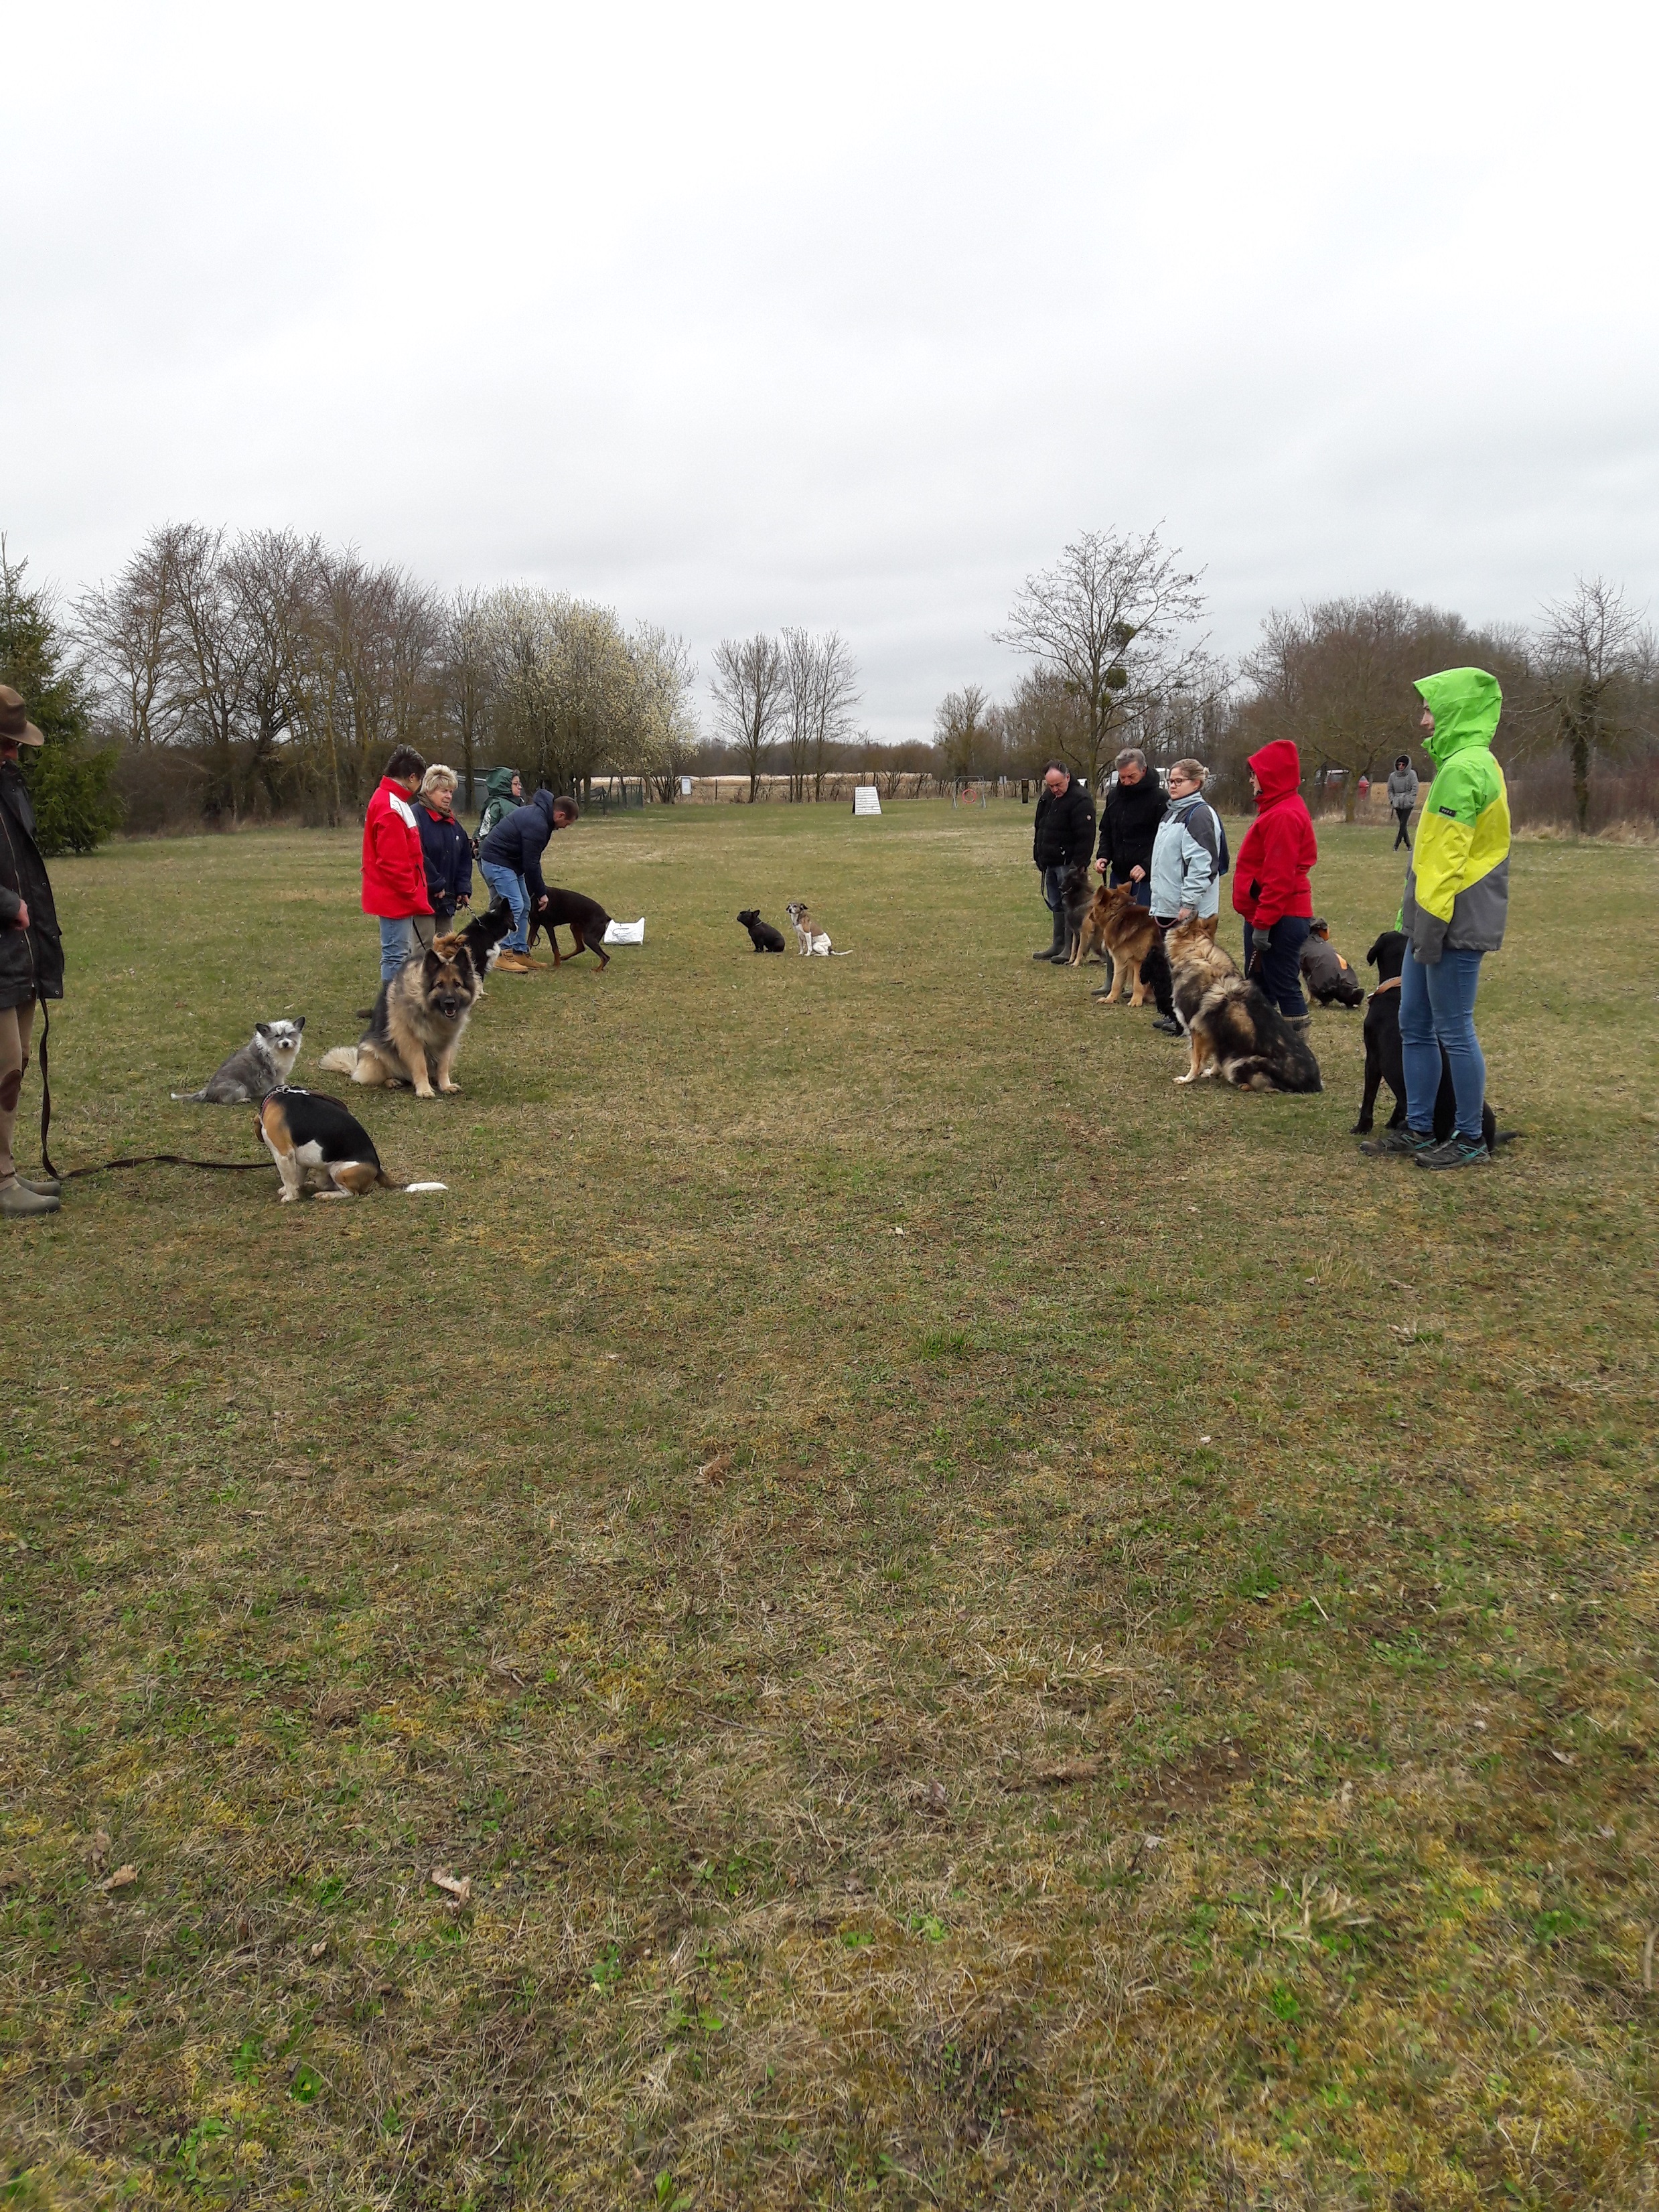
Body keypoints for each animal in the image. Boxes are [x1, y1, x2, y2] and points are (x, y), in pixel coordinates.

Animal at [173, 1013, 307, 1101]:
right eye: (277, 1036)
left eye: (290, 1034)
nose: (285, 1043)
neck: (276, 1050)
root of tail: (208, 1092)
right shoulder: (269, 1075)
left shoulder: (279, 1076)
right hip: (241, 1088)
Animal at [1354, 929, 1513, 1150]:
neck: (1397, 986)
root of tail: (1489, 1140)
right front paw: (1394, 1123)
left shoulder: (1373, 1059)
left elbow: (1369, 1097)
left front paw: (1362, 1127)